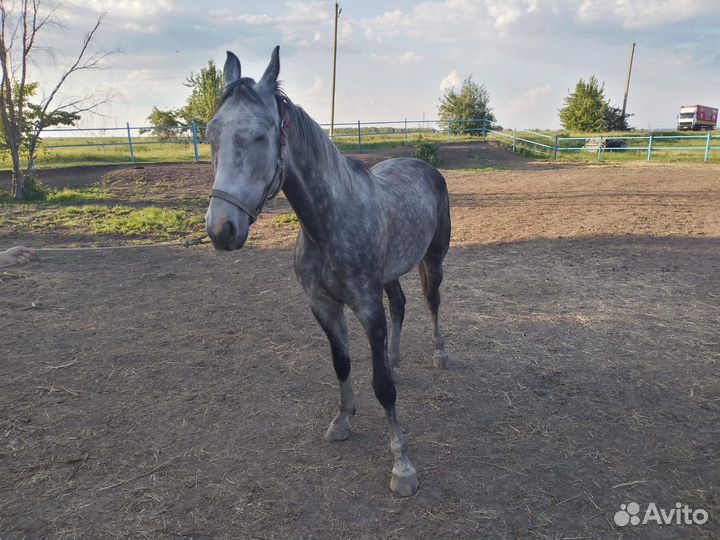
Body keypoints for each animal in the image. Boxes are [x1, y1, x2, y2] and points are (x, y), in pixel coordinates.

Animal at [204, 47, 450, 498]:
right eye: (212, 132)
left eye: (261, 135)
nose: (221, 229)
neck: (328, 222)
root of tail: (423, 165)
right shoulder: (323, 306)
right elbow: (342, 363)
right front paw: (342, 420)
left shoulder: (366, 307)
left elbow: (383, 388)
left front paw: (402, 468)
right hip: (390, 273)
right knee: (401, 305)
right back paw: (394, 357)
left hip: (434, 260)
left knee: (432, 302)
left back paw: (439, 354)